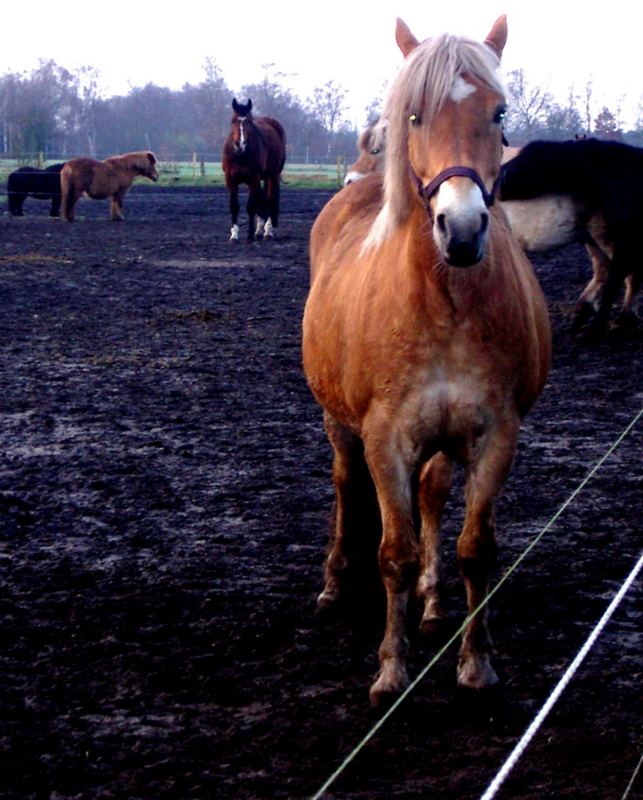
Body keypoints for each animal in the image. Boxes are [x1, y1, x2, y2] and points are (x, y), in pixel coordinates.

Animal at [221, 98, 286, 241]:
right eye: (233, 120)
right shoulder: (230, 179)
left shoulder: (253, 178)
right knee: (261, 201)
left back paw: (267, 231)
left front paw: (250, 235)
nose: (240, 143)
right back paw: (259, 230)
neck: (240, 155)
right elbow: (234, 206)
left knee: (269, 200)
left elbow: (251, 206)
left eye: (249, 121)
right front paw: (234, 235)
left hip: (273, 175)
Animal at [304, 15, 552, 704]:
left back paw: (435, 604)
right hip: (341, 425)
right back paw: (335, 583)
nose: (460, 229)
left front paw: (475, 661)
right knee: (344, 484)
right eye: (415, 116)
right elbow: (394, 552)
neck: (445, 304)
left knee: (434, 494)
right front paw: (392, 669)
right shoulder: (385, 439)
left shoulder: (495, 434)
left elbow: (474, 547)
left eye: (499, 112)